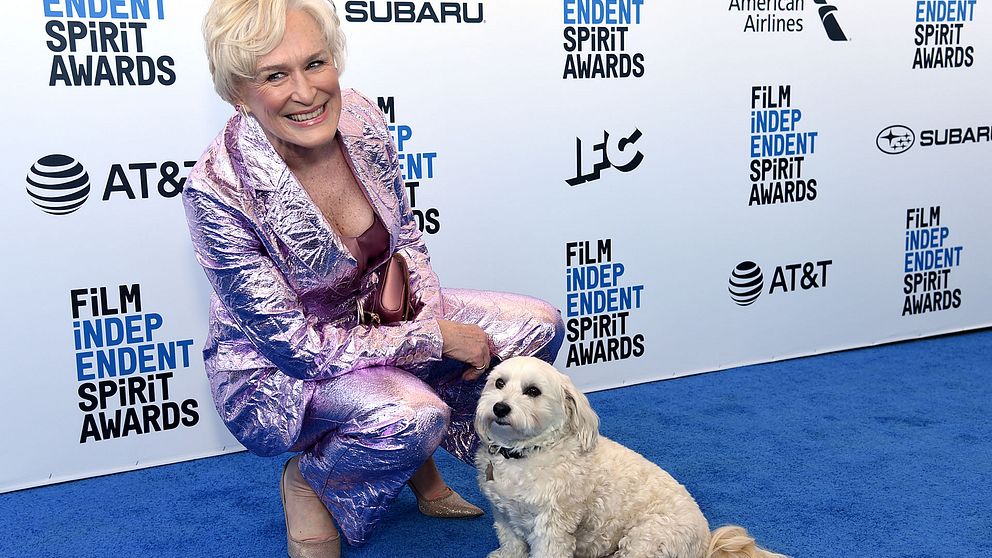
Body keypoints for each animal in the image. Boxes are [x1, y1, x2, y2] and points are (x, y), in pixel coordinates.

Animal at [476, 358, 788, 558]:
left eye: (533, 391)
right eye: (499, 383)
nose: (500, 407)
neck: (525, 453)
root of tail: (706, 540)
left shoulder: (552, 526)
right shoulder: (504, 514)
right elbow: (512, 543)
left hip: (646, 538)